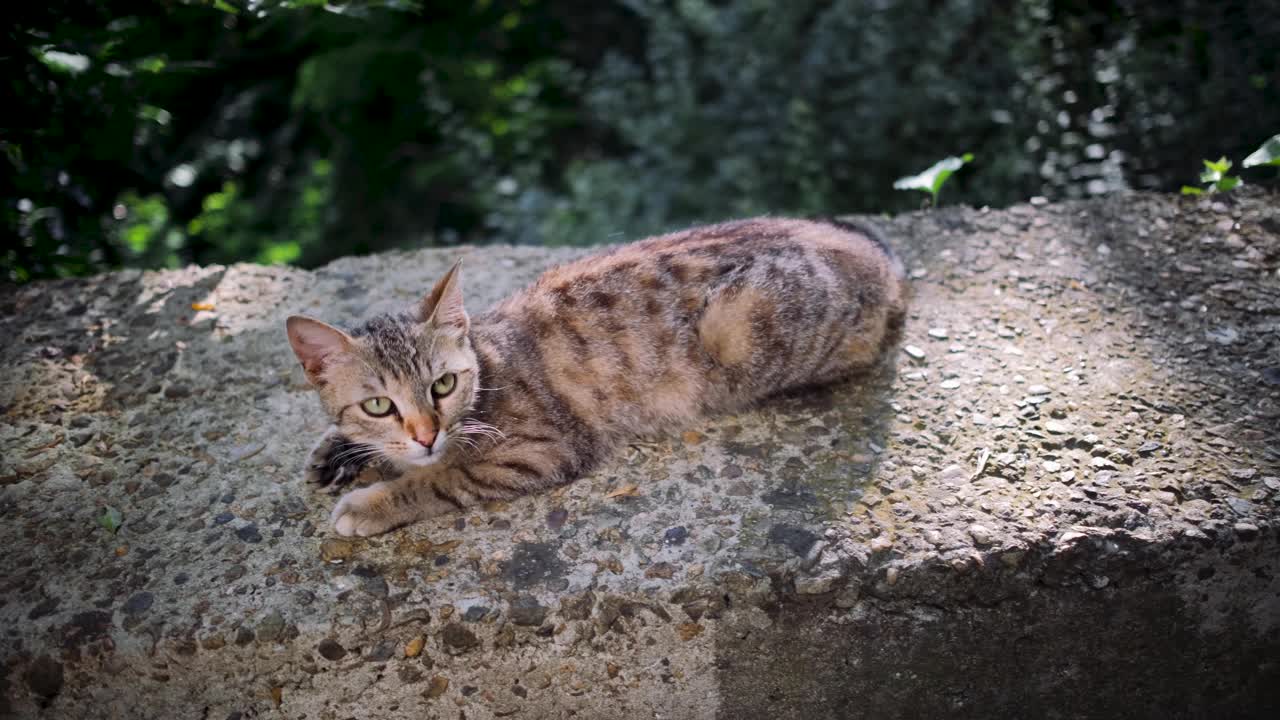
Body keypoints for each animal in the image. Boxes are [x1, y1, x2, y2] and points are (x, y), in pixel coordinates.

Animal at [288, 215, 911, 535]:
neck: (486, 362)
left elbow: (441, 479)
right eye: (378, 405)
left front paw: (371, 503)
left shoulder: (538, 451)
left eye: (443, 385)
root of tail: (882, 258)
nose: (425, 434)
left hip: (740, 326)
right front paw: (337, 450)